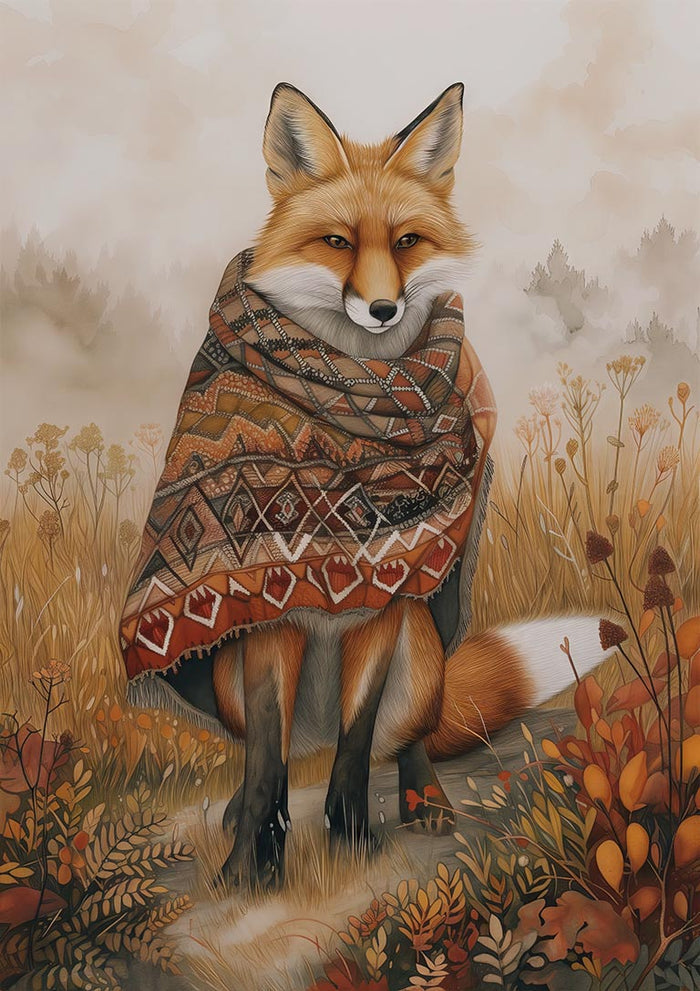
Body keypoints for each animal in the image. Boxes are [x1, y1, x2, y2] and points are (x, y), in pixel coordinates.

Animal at [204, 82, 612, 889]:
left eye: (406, 242)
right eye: (336, 243)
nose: (384, 309)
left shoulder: (387, 604)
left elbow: (358, 745)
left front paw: (353, 833)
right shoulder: (267, 618)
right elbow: (265, 762)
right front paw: (245, 867)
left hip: (422, 654)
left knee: (405, 739)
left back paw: (423, 800)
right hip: (230, 673)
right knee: (270, 757)